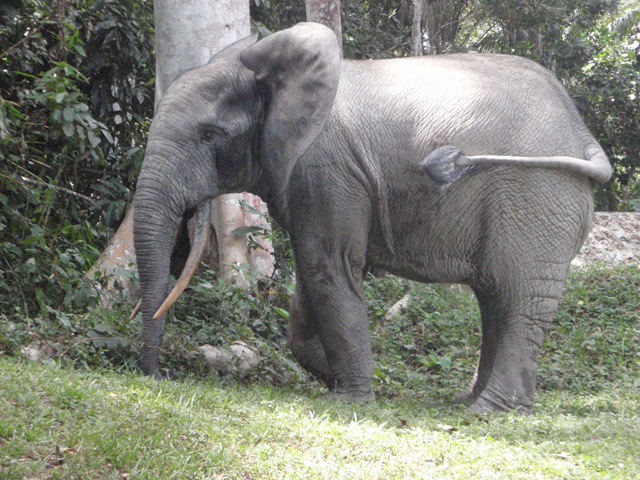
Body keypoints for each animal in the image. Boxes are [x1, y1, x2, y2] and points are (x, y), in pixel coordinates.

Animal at [133, 22, 611, 413]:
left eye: (209, 135)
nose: (157, 377)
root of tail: (585, 137)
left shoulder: (327, 170)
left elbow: (329, 268)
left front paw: (349, 398)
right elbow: (314, 282)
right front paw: (343, 382)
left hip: (538, 197)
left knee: (518, 300)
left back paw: (487, 411)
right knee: (495, 298)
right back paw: (474, 402)